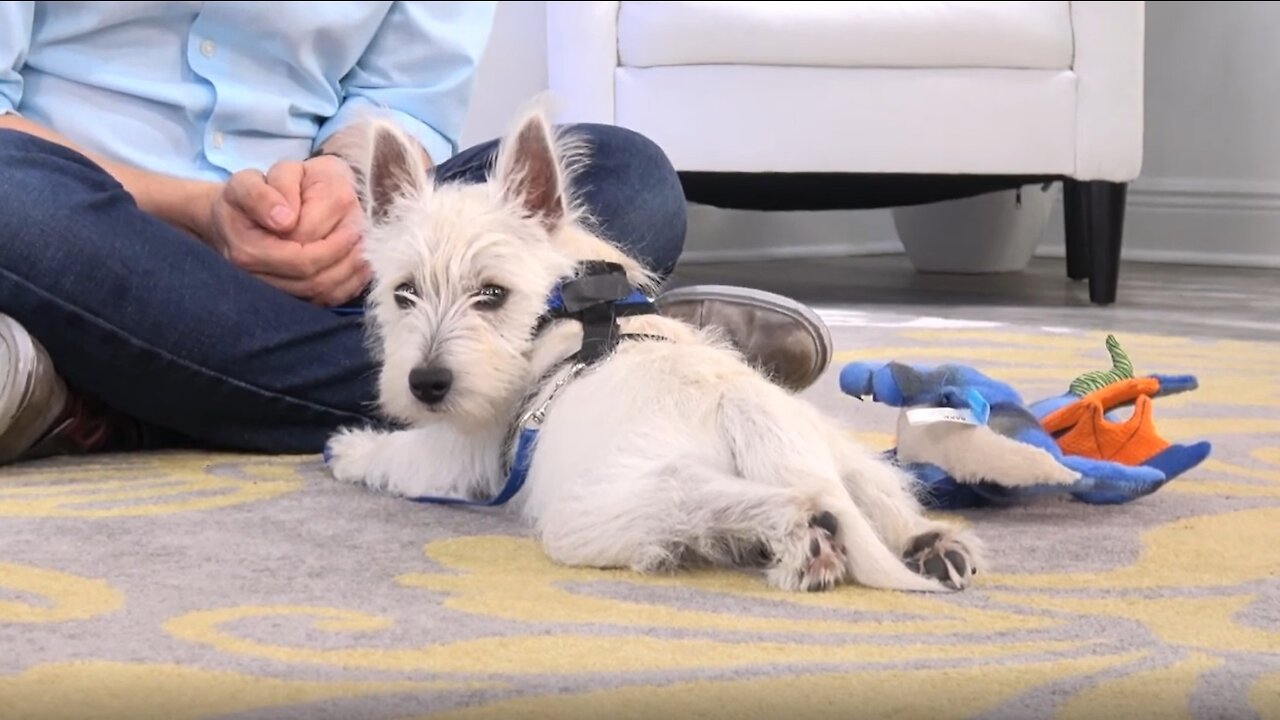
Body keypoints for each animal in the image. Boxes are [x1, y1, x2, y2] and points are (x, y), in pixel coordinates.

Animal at [325, 102, 983, 594]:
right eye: (404, 293)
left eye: (492, 293)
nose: (426, 384)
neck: (557, 301)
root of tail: (746, 407)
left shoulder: (461, 453)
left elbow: (399, 456)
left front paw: (350, 448)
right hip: (843, 451)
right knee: (878, 496)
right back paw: (931, 543)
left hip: (601, 508)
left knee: (751, 502)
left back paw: (804, 539)